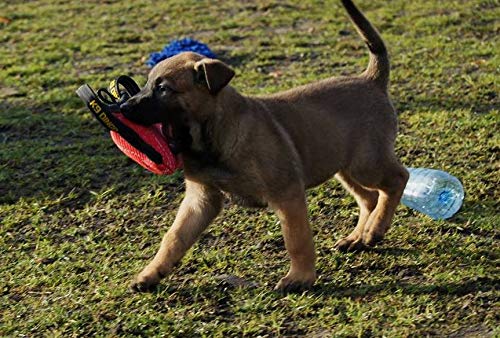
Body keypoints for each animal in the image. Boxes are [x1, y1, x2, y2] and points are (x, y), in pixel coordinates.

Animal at [122, 0, 410, 292]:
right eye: (147, 85)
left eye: (163, 89)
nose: (123, 107)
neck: (213, 138)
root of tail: (371, 79)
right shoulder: (200, 200)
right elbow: (174, 238)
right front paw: (150, 274)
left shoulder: (287, 195)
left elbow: (297, 240)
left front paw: (300, 277)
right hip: (344, 166)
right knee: (370, 197)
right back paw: (358, 237)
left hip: (366, 163)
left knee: (398, 179)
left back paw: (375, 230)